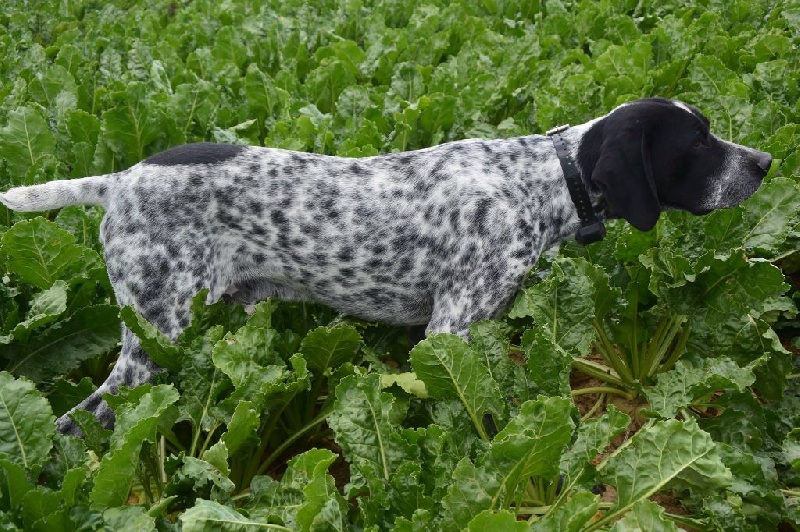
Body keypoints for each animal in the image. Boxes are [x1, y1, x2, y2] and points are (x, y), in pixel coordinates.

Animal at [1, 97, 776, 434]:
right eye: (698, 143)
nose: (766, 162)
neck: (541, 183)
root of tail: (120, 180)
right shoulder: (449, 331)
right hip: (151, 342)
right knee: (79, 422)